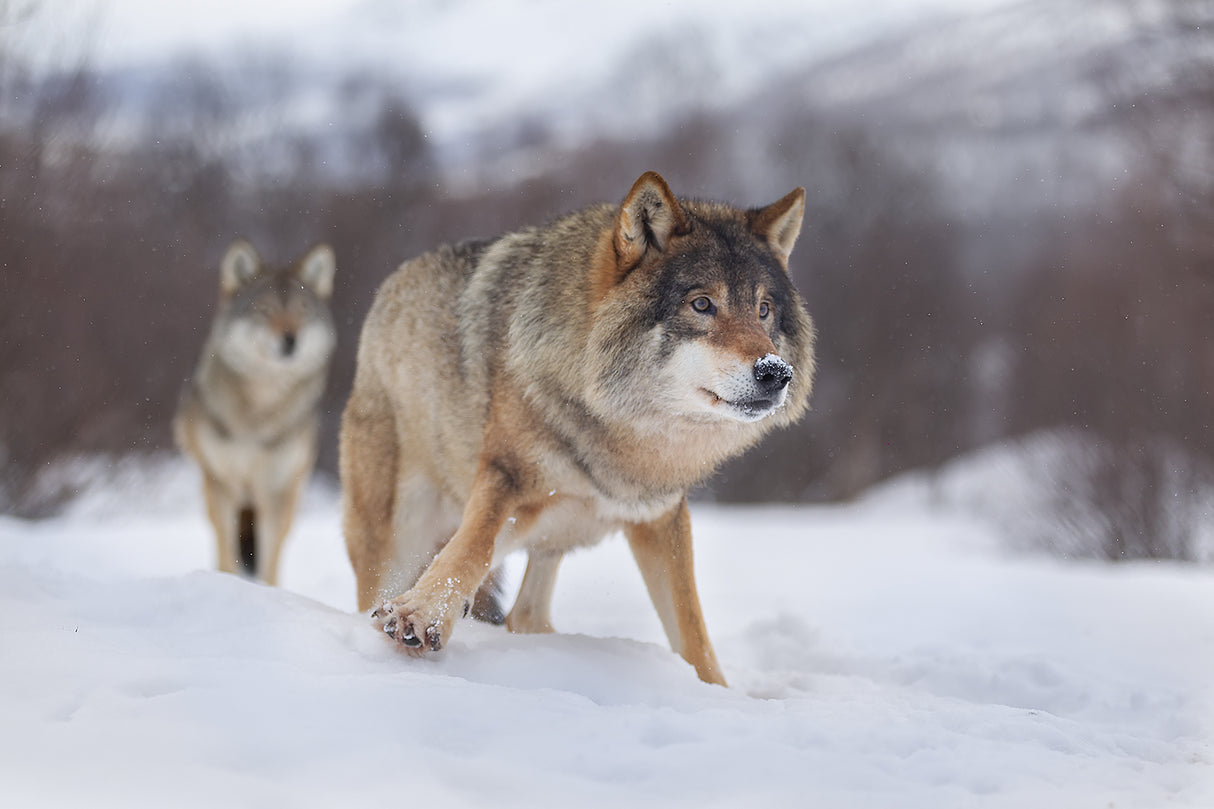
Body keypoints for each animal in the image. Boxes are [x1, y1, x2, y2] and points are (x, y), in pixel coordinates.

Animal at [174, 239, 337, 586]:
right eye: (265, 311)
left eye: (301, 312)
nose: (290, 339)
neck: (258, 414)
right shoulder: (222, 484)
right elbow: (226, 552)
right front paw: (225, 584)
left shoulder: (275, 490)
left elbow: (270, 560)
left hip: (291, 492)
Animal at [341, 172, 815, 685]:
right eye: (702, 304)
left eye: (763, 309)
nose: (775, 372)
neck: (621, 430)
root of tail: (390, 289)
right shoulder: (506, 476)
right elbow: (471, 546)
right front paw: (421, 613)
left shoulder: (660, 516)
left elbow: (693, 633)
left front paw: (716, 693)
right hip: (399, 535)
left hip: (547, 534)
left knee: (523, 615)